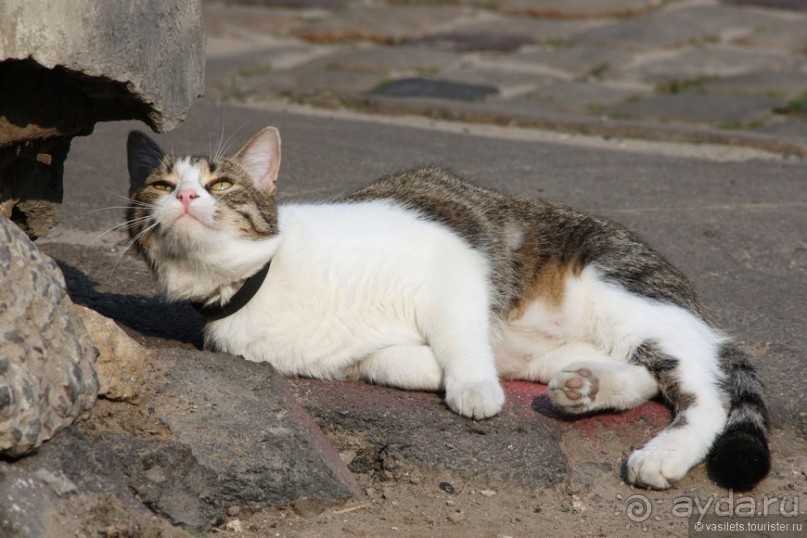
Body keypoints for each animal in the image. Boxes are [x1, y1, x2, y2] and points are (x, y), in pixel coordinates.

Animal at [124, 124, 772, 490]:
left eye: (221, 184)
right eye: (159, 185)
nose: (186, 195)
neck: (262, 279)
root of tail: (692, 302)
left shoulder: (453, 261)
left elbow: (458, 330)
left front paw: (473, 388)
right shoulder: (344, 356)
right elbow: (387, 360)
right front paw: (444, 371)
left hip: (625, 296)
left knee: (707, 393)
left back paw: (662, 454)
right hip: (570, 346)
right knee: (642, 376)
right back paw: (583, 387)